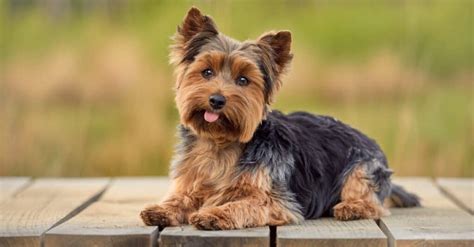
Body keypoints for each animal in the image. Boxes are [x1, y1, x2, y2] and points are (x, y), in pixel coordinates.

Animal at [140, 8, 418, 232]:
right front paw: (162, 209)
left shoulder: (278, 201)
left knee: (373, 202)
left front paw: (215, 214)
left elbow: (243, 204)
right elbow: (183, 197)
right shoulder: (192, 180)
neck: (221, 143)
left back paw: (351, 208)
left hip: (363, 168)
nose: (217, 100)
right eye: (206, 72)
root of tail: (370, 139)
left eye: (243, 80)